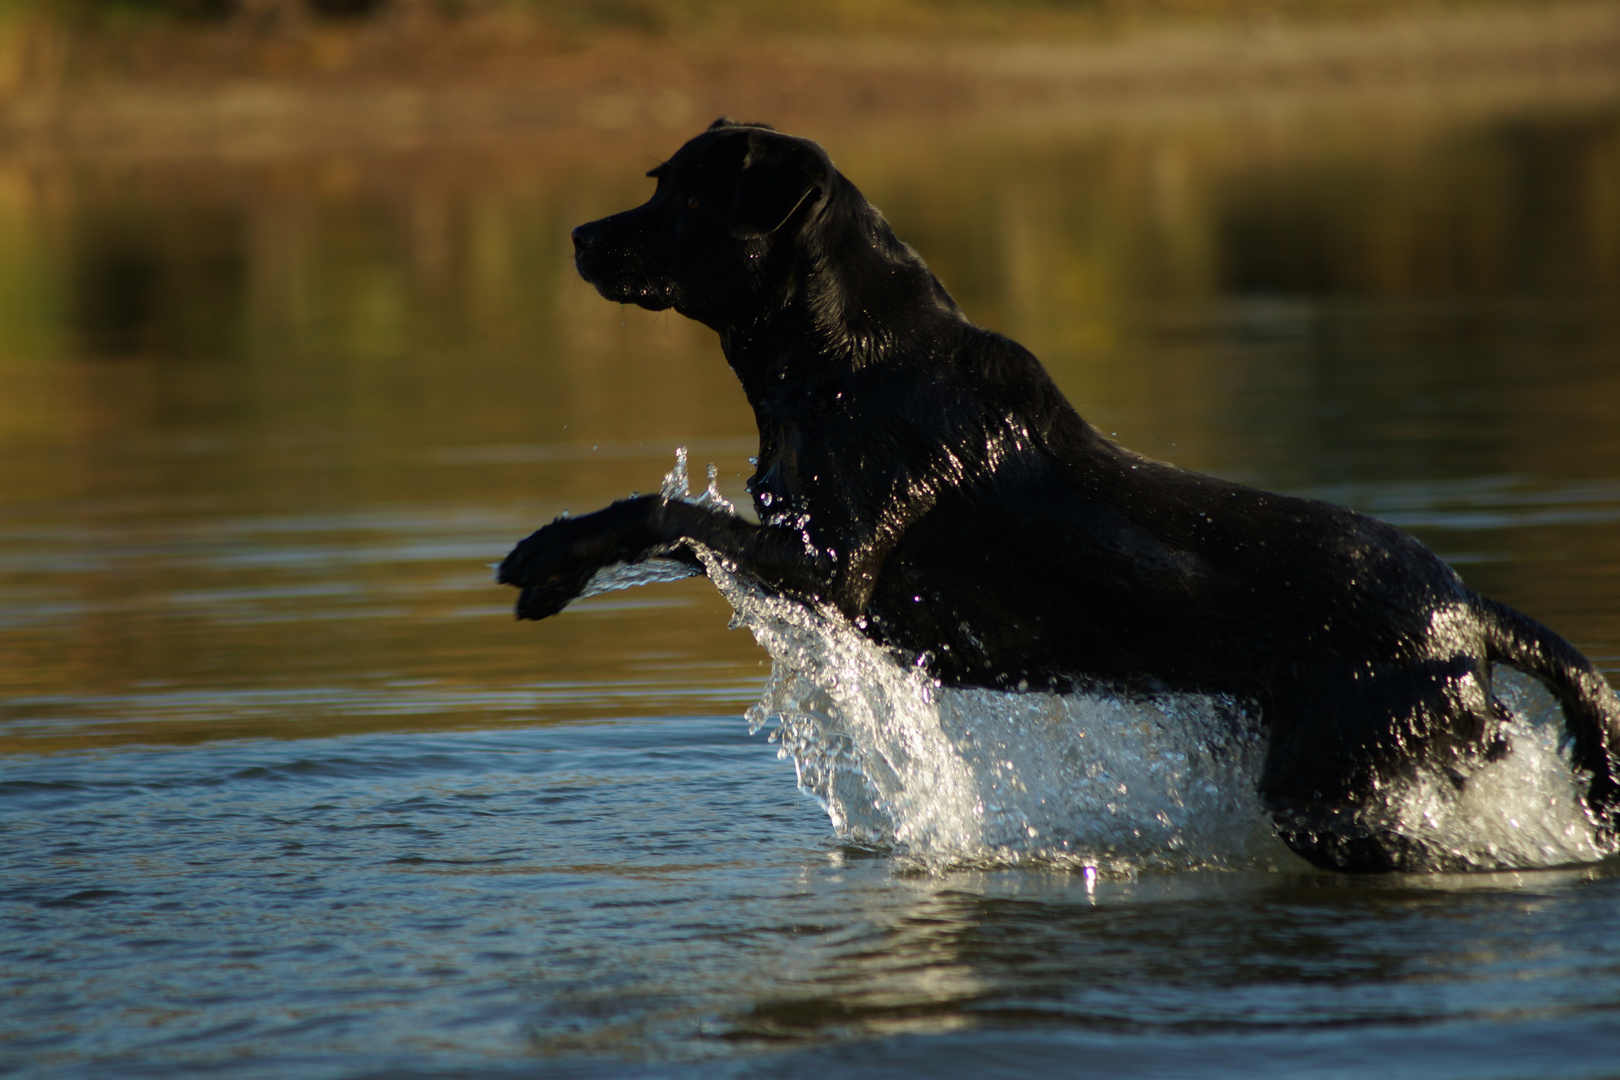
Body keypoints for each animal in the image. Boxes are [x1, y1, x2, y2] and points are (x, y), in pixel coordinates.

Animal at [502, 118, 1620, 874]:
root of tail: (1467, 609)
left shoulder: (833, 571)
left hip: (1349, 782)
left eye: (680, 197)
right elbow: (678, 526)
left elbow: (665, 512)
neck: (843, 362)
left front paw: (547, 555)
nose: (581, 237)